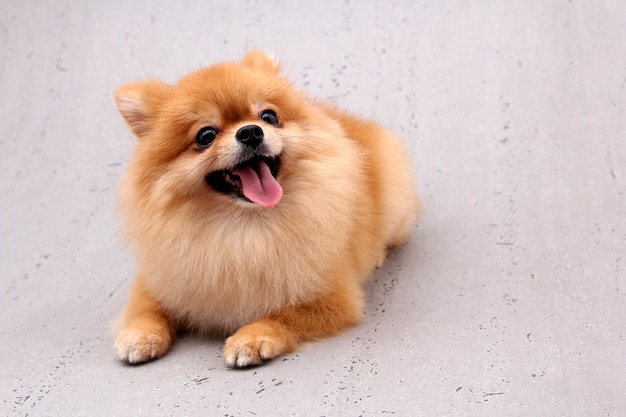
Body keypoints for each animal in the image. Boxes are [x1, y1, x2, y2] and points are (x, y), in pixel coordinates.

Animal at [112, 50, 416, 366]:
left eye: (269, 116)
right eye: (205, 136)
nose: (250, 132)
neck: (245, 229)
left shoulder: (333, 298)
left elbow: (285, 315)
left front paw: (252, 338)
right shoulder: (161, 277)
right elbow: (146, 307)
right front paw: (140, 334)